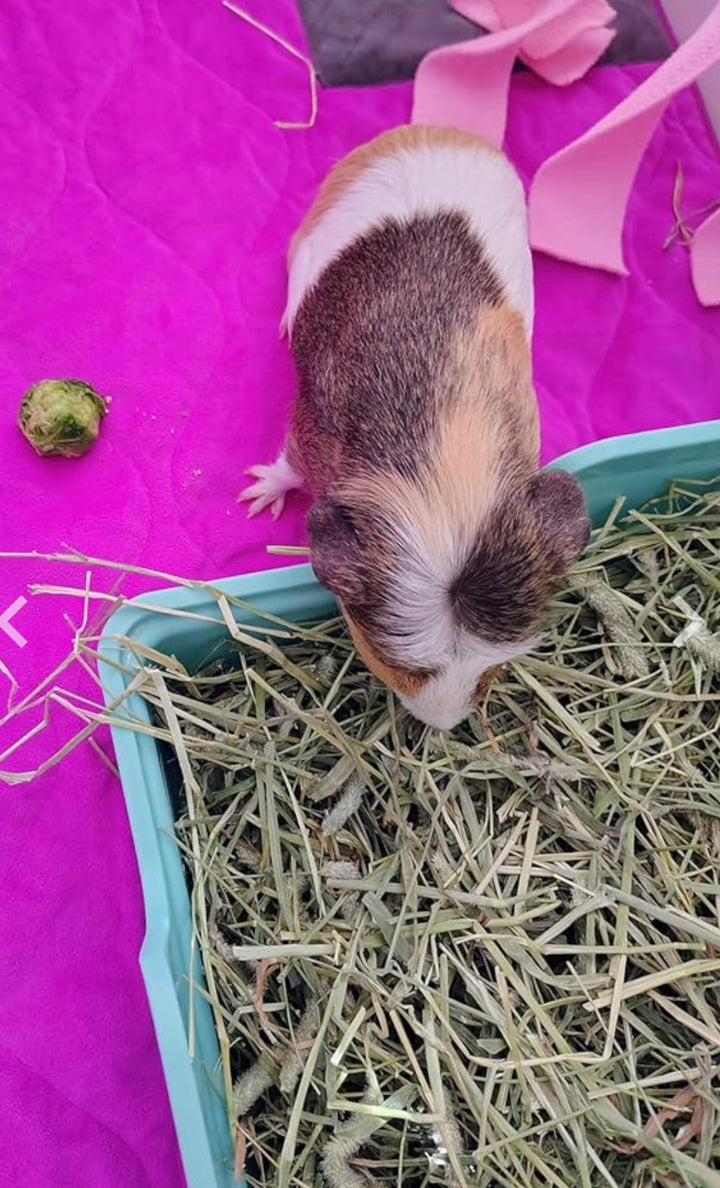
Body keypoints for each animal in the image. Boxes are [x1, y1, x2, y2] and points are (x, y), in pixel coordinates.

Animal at [240, 125, 590, 731]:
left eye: (493, 667)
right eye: (395, 663)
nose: (443, 724)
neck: (444, 489)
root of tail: (442, 132)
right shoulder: (308, 431)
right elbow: (287, 464)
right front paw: (256, 498)